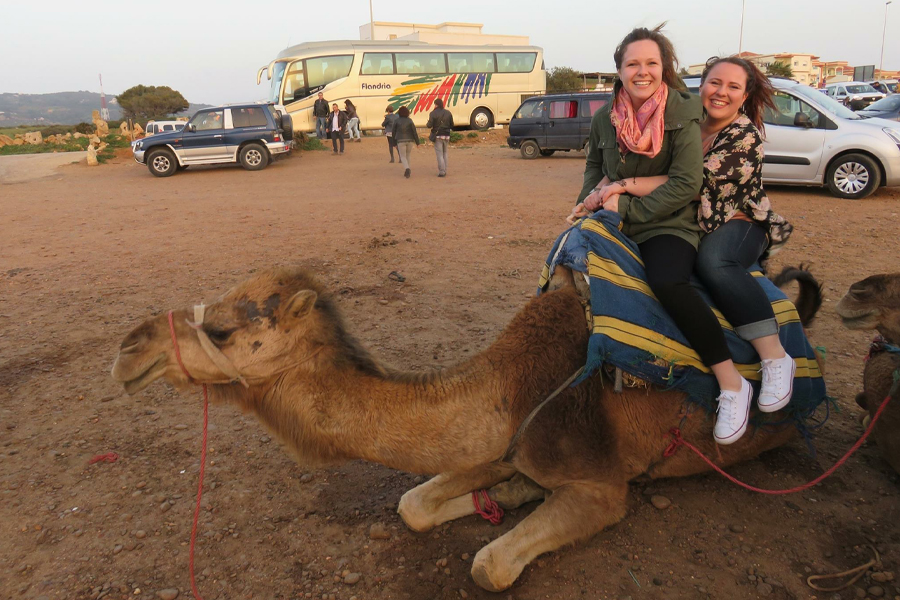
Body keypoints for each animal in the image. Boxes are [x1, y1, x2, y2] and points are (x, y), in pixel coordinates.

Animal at [110, 266, 824, 592]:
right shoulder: (503, 438)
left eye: (223, 330)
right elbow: (412, 503)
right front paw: (504, 493)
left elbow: (488, 566)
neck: (511, 384)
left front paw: (509, 509)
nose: (127, 349)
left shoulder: (599, 485)